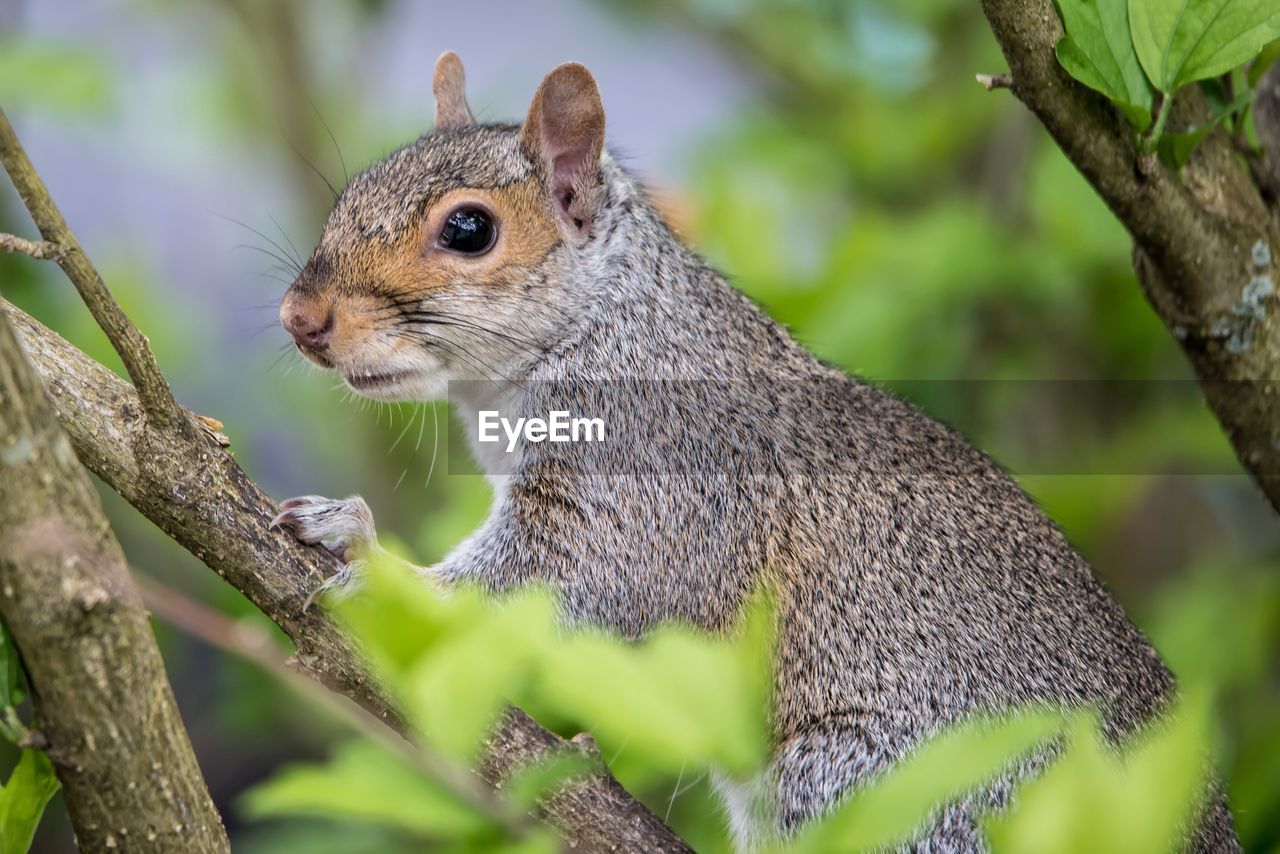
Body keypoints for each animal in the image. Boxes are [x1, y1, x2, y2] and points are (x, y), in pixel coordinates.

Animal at [272, 51, 1239, 850]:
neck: (610, 328)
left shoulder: (660, 473)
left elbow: (553, 587)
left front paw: (367, 553)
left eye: (469, 230)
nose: (299, 319)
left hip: (884, 792)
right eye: (349, 194)